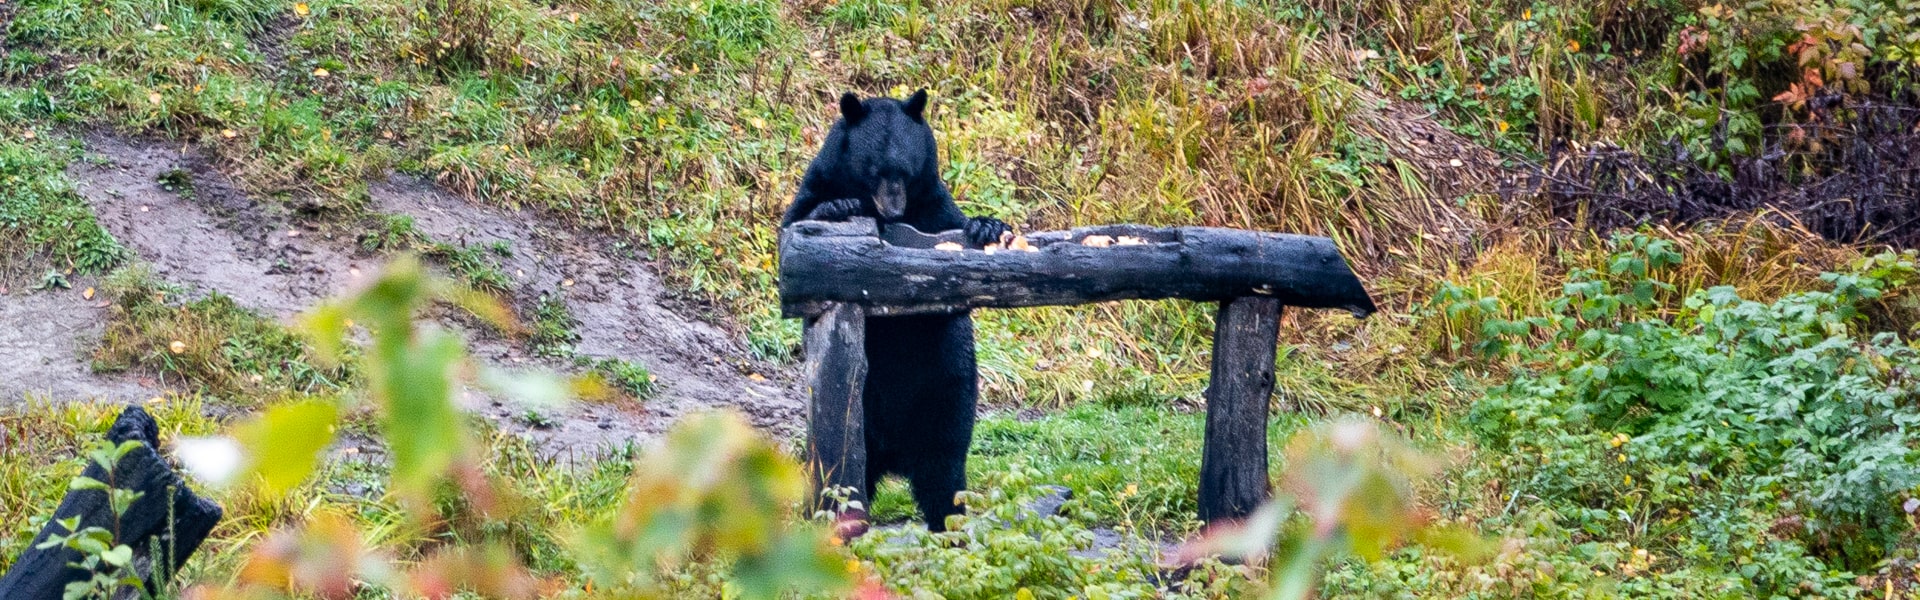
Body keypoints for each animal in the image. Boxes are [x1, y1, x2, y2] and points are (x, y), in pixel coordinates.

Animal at [783, 88, 1021, 530]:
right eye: (875, 170)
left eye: (905, 173)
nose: (893, 209)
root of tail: (895, 456)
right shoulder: (817, 185)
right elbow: (795, 227)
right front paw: (836, 208)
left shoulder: (933, 207)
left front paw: (987, 225)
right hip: (857, 417)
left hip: (946, 397)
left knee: (944, 474)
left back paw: (949, 527)